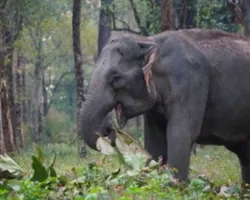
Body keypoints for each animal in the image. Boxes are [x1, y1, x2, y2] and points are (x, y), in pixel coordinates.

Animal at [79, 28, 250, 184]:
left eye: (115, 78)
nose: (108, 128)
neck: (149, 41)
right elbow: (155, 142)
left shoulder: (190, 82)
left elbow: (180, 134)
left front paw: (175, 186)